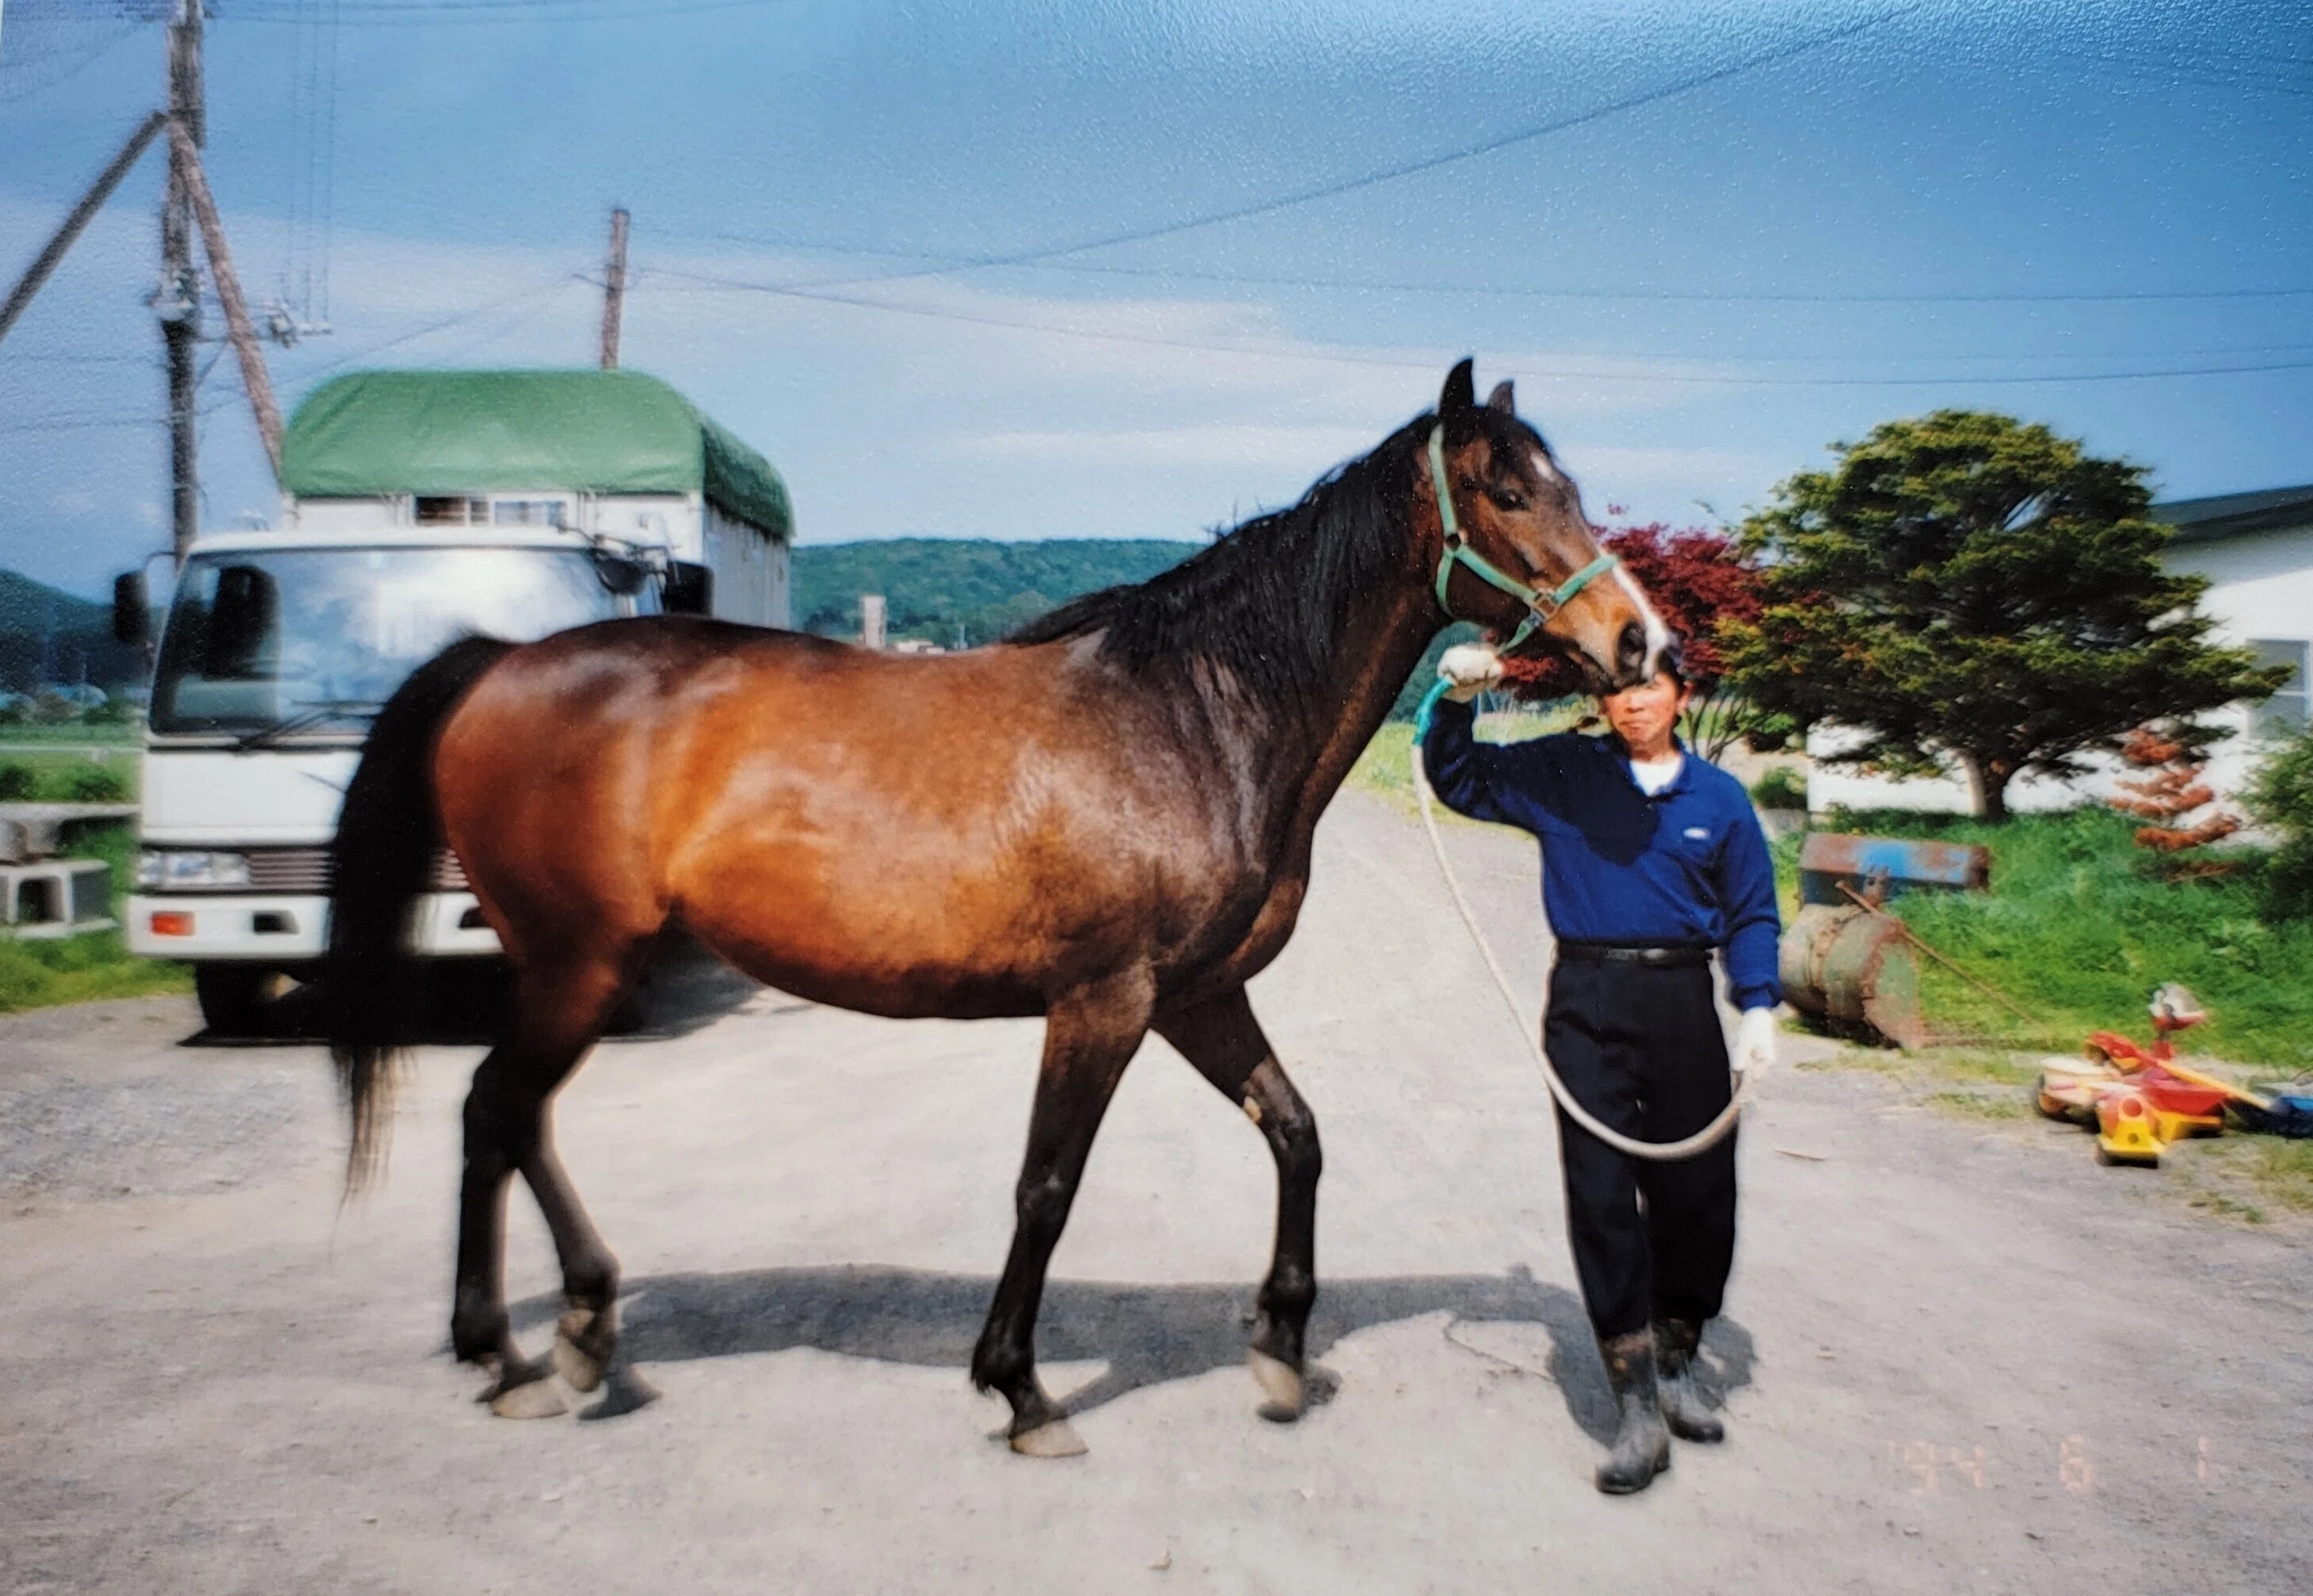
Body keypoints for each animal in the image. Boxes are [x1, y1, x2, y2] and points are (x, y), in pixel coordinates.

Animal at [323, 358, 1669, 1456]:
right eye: (1506, 491)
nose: (1640, 640)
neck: (1194, 716)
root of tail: (499, 660)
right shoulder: (1105, 1001)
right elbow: (1047, 1185)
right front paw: (1020, 1388)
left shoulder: (1197, 995)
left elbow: (1297, 1133)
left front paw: (1283, 1350)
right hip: (579, 962)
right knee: (497, 1110)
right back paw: (509, 1352)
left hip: (585, 965)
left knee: (516, 1120)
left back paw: (582, 1324)